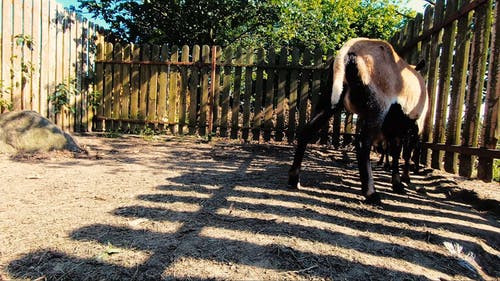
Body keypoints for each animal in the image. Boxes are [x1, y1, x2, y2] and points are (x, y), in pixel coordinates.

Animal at [292, 37, 428, 203]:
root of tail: (349, 50)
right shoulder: (410, 128)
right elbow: (403, 153)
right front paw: (403, 181)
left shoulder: (393, 129)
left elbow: (395, 152)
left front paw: (397, 184)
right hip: (377, 107)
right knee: (363, 144)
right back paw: (371, 193)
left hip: (332, 100)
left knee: (306, 131)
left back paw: (294, 180)